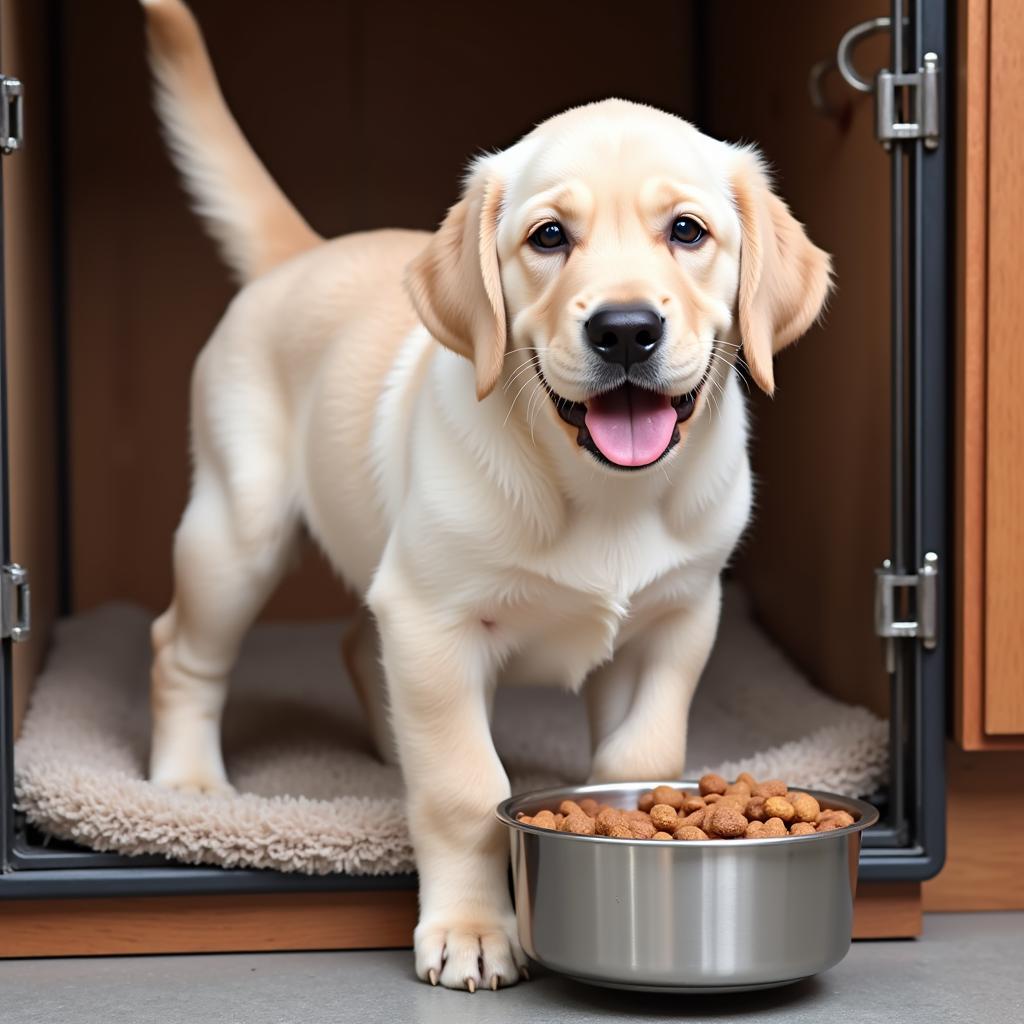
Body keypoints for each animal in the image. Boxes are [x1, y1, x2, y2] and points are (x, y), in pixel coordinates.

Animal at [142, 0, 831, 991]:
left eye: (688, 232)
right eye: (549, 238)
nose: (626, 329)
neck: (597, 487)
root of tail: (302, 255)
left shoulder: (679, 617)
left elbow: (642, 752)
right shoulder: (433, 618)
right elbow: (464, 787)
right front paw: (471, 927)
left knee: (357, 647)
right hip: (238, 527)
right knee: (183, 649)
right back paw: (190, 781)